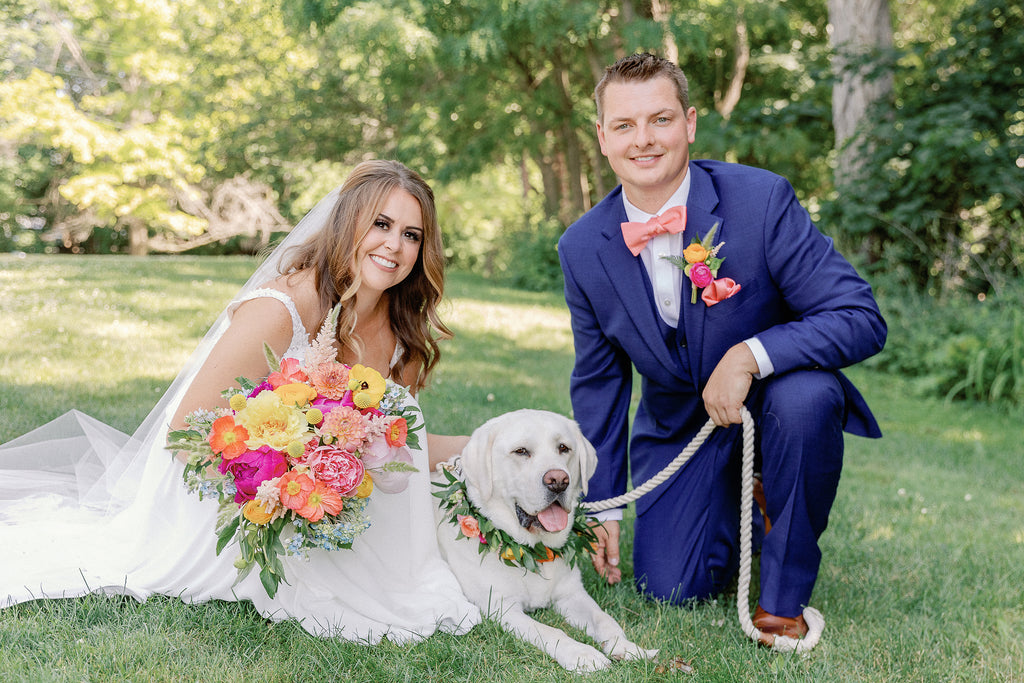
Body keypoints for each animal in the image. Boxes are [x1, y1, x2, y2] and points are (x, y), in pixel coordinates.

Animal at [430, 411, 655, 671]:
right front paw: (582, 654)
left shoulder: (572, 593)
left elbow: (604, 619)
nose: (558, 480)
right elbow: (551, 631)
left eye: (563, 448)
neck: (532, 549)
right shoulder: (501, 607)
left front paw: (626, 647)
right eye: (521, 451)